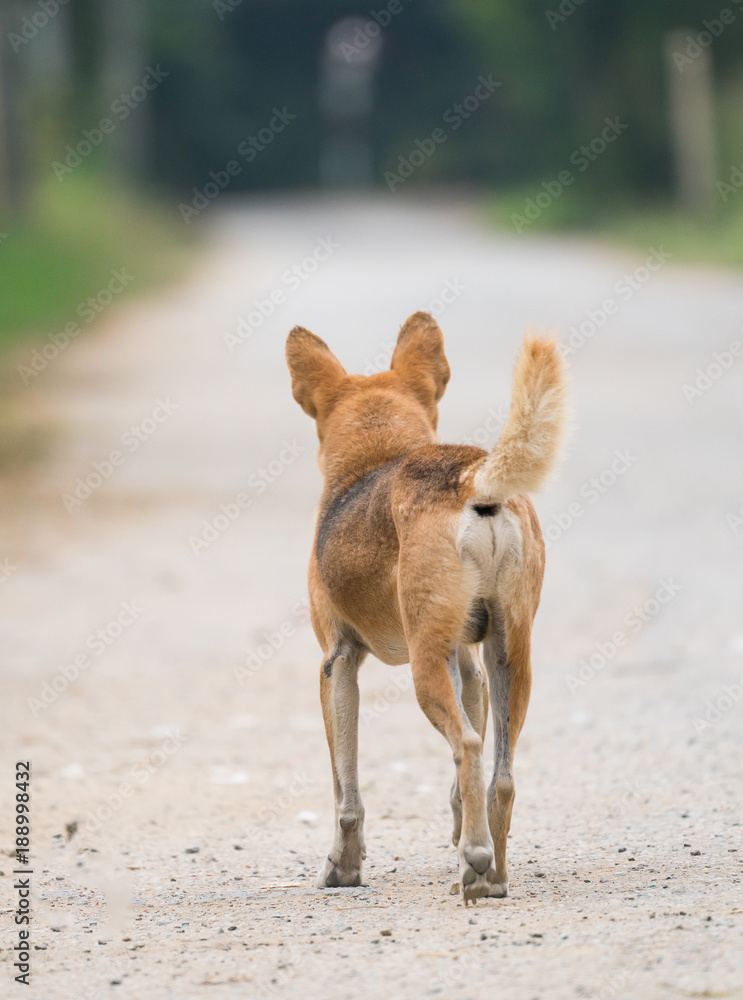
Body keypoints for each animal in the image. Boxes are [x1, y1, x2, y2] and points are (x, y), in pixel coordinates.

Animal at [288, 312, 568, 908]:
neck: (375, 456)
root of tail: (471, 476)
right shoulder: (467, 664)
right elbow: (466, 782)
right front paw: (462, 835)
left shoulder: (337, 665)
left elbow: (344, 789)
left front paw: (343, 867)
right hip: (509, 658)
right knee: (499, 773)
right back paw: (490, 876)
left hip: (422, 666)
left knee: (467, 744)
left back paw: (478, 861)